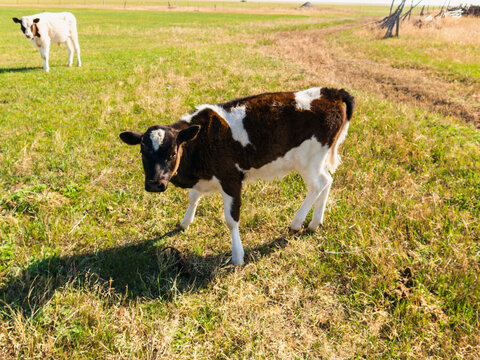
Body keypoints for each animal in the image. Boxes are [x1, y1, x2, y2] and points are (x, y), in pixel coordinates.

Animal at [120, 87, 352, 264]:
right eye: (143, 152)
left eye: (173, 153)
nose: (154, 184)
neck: (203, 138)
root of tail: (331, 92)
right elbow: (193, 197)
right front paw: (185, 223)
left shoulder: (230, 178)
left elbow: (232, 220)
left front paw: (237, 256)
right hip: (317, 160)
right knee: (327, 180)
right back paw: (315, 223)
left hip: (308, 160)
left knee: (318, 185)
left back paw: (297, 222)